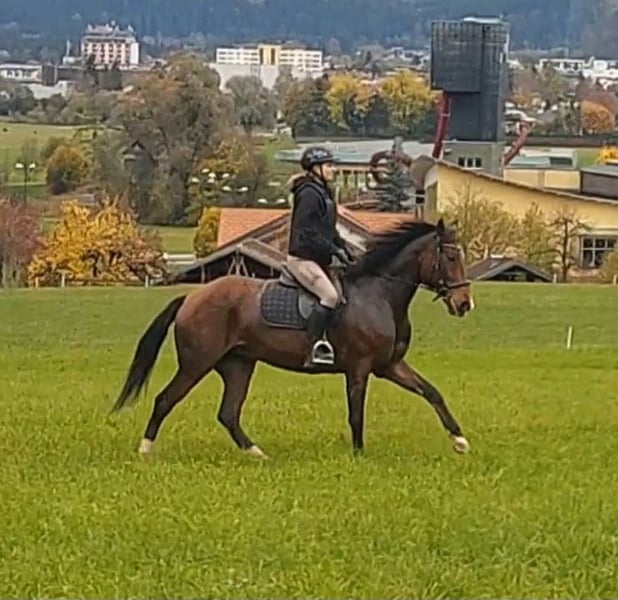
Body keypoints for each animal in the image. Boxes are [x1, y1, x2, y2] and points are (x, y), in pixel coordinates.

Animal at [112, 217, 475, 458]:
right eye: (451, 258)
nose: (464, 304)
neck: (380, 294)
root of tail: (191, 297)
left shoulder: (390, 366)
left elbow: (432, 393)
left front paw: (459, 440)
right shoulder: (359, 368)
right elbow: (356, 412)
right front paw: (358, 454)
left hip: (238, 365)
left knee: (228, 413)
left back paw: (256, 453)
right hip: (196, 364)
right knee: (165, 400)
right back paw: (145, 450)